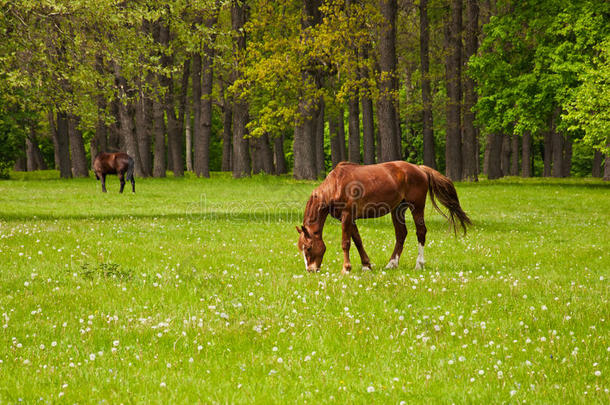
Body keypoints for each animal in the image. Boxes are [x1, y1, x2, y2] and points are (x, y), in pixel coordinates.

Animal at [294, 161, 470, 274]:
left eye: (308, 248)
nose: (310, 270)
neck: (336, 184)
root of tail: (419, 169)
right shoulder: (350, 219)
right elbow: (358, 241)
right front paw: (366, 265)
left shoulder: (347, 216)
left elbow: (346, 243)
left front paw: (346, 268)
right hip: (398, 209)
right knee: (401, 234)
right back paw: (392, 264)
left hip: (417, 207)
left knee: (421, 232)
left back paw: (419, 264)